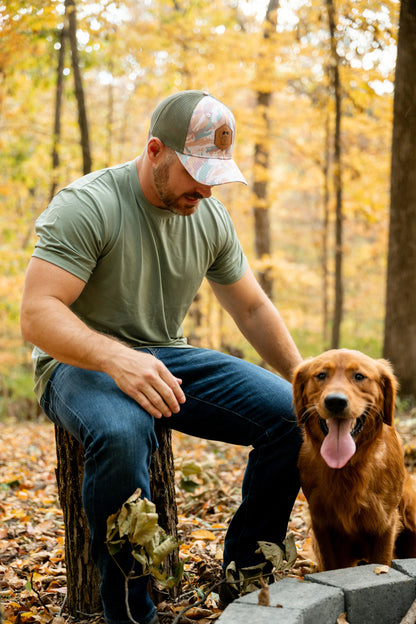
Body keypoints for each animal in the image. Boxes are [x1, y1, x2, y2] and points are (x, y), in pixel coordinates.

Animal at [292, 346, 416, 572]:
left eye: (359, 376)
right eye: (321, 375)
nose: (335, 401)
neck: (347, 466)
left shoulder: (385, 523)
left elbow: (381, 561)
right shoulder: (322, 524)